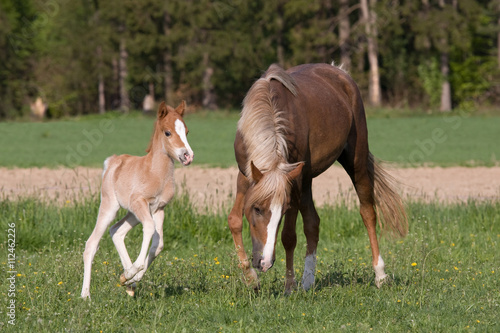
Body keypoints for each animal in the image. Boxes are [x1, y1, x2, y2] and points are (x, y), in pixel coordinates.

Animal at [81, 101, 192, 298]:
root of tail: (113, 161)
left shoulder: (159, 208)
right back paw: (86, 295)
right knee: (92, 244)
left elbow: (158, 244)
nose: (188, 156)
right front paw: (133, 272)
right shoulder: (140, 203)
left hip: (133, 214)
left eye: (186, 131)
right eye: (167, 132)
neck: (155, 172)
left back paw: (129, 283)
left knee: (116, 231)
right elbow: (149, 228)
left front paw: (130, 277)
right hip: (111, 206)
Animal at [229, 63, 408, 292]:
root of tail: (339, 71)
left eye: (283, 211)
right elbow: (234, 220)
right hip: (306, 180)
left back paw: (380, 274)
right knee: (313, 223)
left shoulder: (292, 184)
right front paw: (251, 278)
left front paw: (289, 286)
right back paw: (308, 280)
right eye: (257, 209)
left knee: (368, 213)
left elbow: (288, 236)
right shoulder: (246, 175)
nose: (265, 262)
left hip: (355, 161)